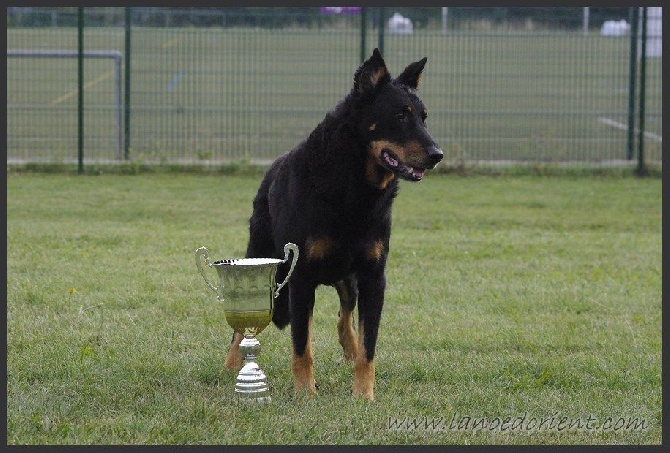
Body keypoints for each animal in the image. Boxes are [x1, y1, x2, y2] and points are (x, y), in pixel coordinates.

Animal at [228, 48, 444, 400]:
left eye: (423, 117)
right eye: (400, 115)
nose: (437, 154)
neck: (353, 191)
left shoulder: (373, 277)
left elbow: (368, 346)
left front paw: (363, 395)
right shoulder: (301, 276)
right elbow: (302, 346)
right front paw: (305, 393)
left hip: (346, 277)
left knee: (345, 317)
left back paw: (349, 351)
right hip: (264, 260)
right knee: (242, 328)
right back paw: (232, 363)